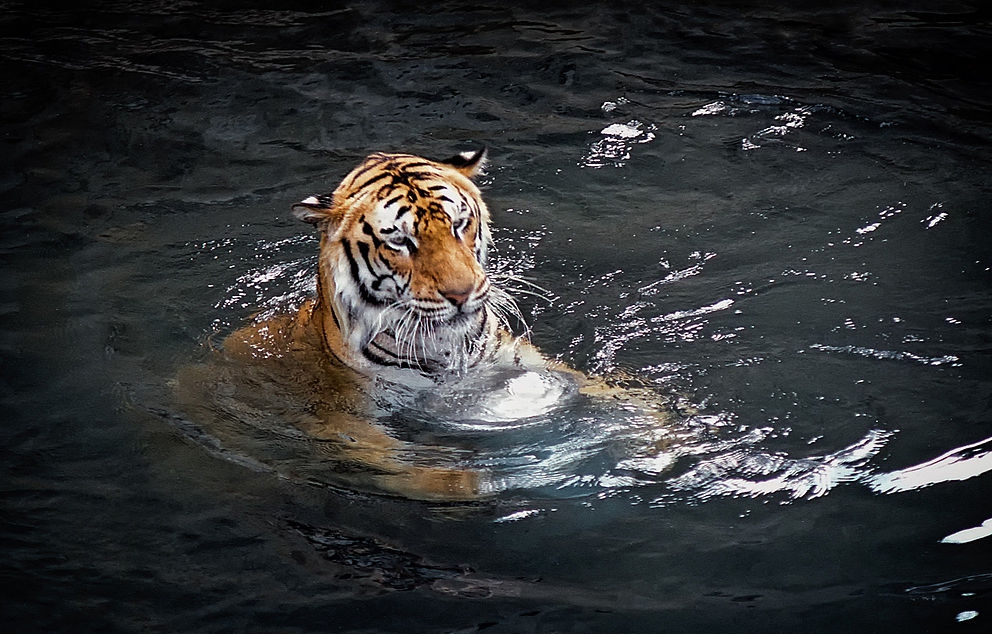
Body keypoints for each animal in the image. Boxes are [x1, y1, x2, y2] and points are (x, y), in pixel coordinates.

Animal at [198, 148, 672, 498]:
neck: (447, 347)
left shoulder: (516, 360)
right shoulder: (348, 418)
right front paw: (481, 475)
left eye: (460, 224)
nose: (462, 294)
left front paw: (660, 435)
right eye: (400, 241)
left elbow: (610, 392)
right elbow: (429, 474)